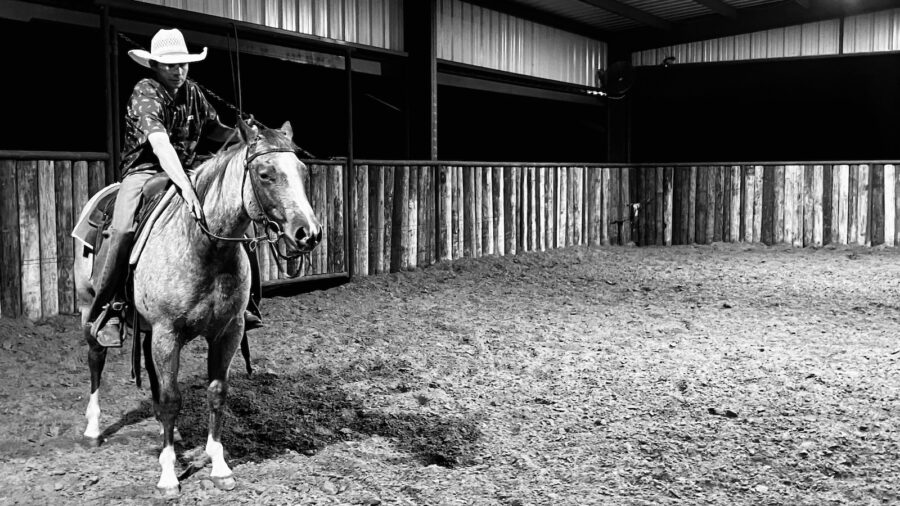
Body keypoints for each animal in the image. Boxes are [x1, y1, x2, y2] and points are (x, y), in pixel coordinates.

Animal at [73, 121, 321, 496]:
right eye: (265, 174)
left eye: (303, 172)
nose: (309, 233)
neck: (205, 245)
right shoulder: (167, 332)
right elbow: (172, 398)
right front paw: (168, 475)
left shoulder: (228, 331)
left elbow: (215, 393)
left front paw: (218, 466)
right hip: (91, 307)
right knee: (95, 358)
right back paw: (92, 430)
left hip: (149, 330)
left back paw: (169, 432)